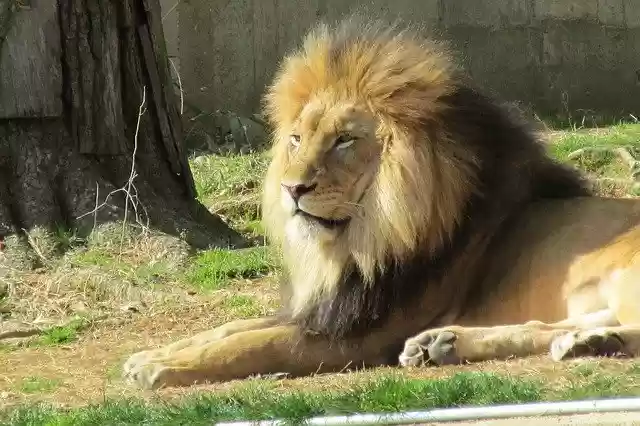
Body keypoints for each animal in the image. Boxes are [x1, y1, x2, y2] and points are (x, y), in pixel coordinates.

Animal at [123, 16, 640, 390]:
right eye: (296, 139)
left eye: (344, 141)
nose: (292, 189)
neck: (364, 242)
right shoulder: (328, 311)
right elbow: (231, 328)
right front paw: (152, 353)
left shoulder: (362, 336)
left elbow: (254, 345)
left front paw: (158, 368)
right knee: (552, 325)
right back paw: (451, 344)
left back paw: (597, 340)